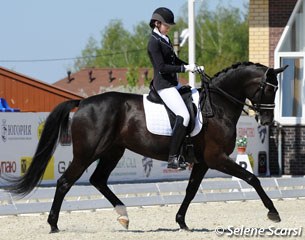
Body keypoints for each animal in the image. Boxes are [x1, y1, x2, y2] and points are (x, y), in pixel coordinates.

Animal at [4, 62, 284, 232]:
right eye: (268, 89)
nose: (267, 121)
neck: (218, 105)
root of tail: (82, 103)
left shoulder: (204, 161)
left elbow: (191, 191)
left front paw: (181, 222)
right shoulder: (217, 157)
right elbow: (251, 178)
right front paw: (273, 213)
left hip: (113, 151)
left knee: (98, 180)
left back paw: (123, 215)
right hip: (87, 153)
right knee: (65, 182)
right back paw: (53, 224)